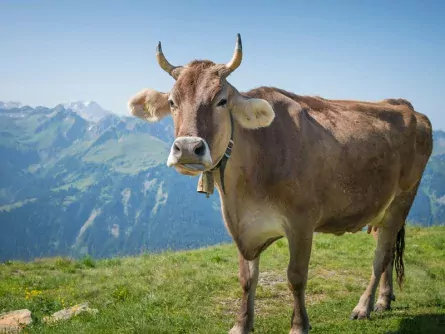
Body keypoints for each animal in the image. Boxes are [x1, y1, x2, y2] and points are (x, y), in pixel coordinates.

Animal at [126, 34, 432, 334]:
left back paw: (364, 306)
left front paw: (299, 325)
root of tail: (405, 106)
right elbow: (246, 278)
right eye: (172, 102)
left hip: (403, 199)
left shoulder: (302, 222)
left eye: (222, 101)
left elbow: (296, 276)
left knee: (381, 256)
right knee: (387, 250)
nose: (188, 148)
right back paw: (384, 300)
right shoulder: (241, 225)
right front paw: (241, 324)